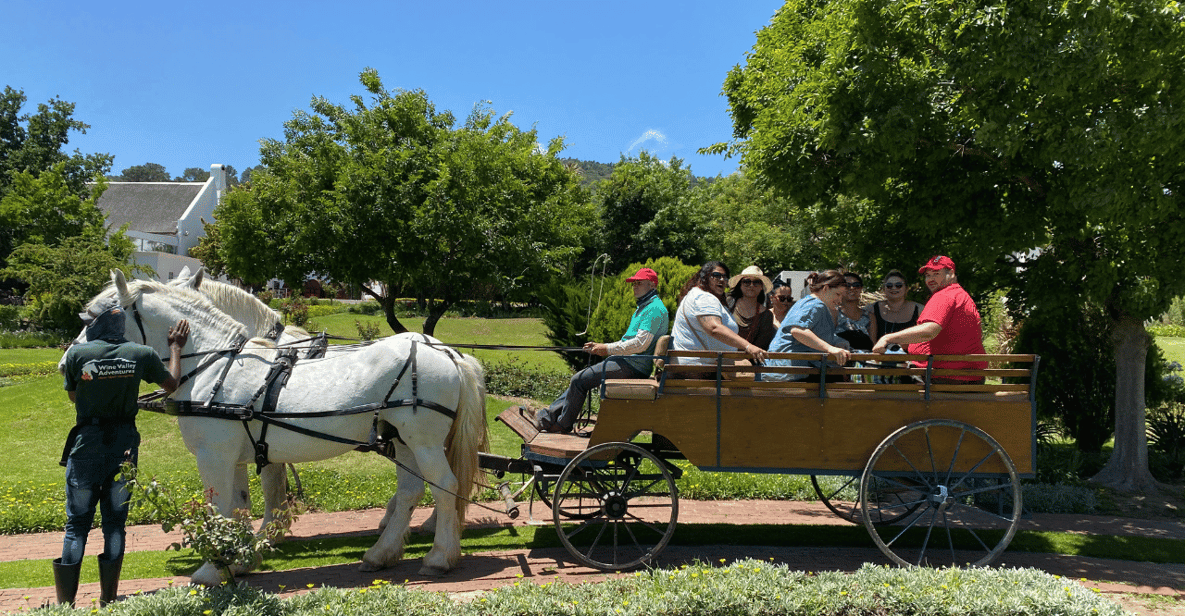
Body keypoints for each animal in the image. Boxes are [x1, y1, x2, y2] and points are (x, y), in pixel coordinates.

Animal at [84, 272, 485, 585]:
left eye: (95, 316)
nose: (73, 359)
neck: (215, 365)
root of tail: (447, 351)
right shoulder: (236, 457)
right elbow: (240, 507)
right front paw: (242, 557)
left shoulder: (214, 456)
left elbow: (224, 508)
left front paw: (216, 567)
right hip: (402, 440)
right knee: (410, 492)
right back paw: (382, 553)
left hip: (424, 441)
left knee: (445, 487)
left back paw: (439, 556)